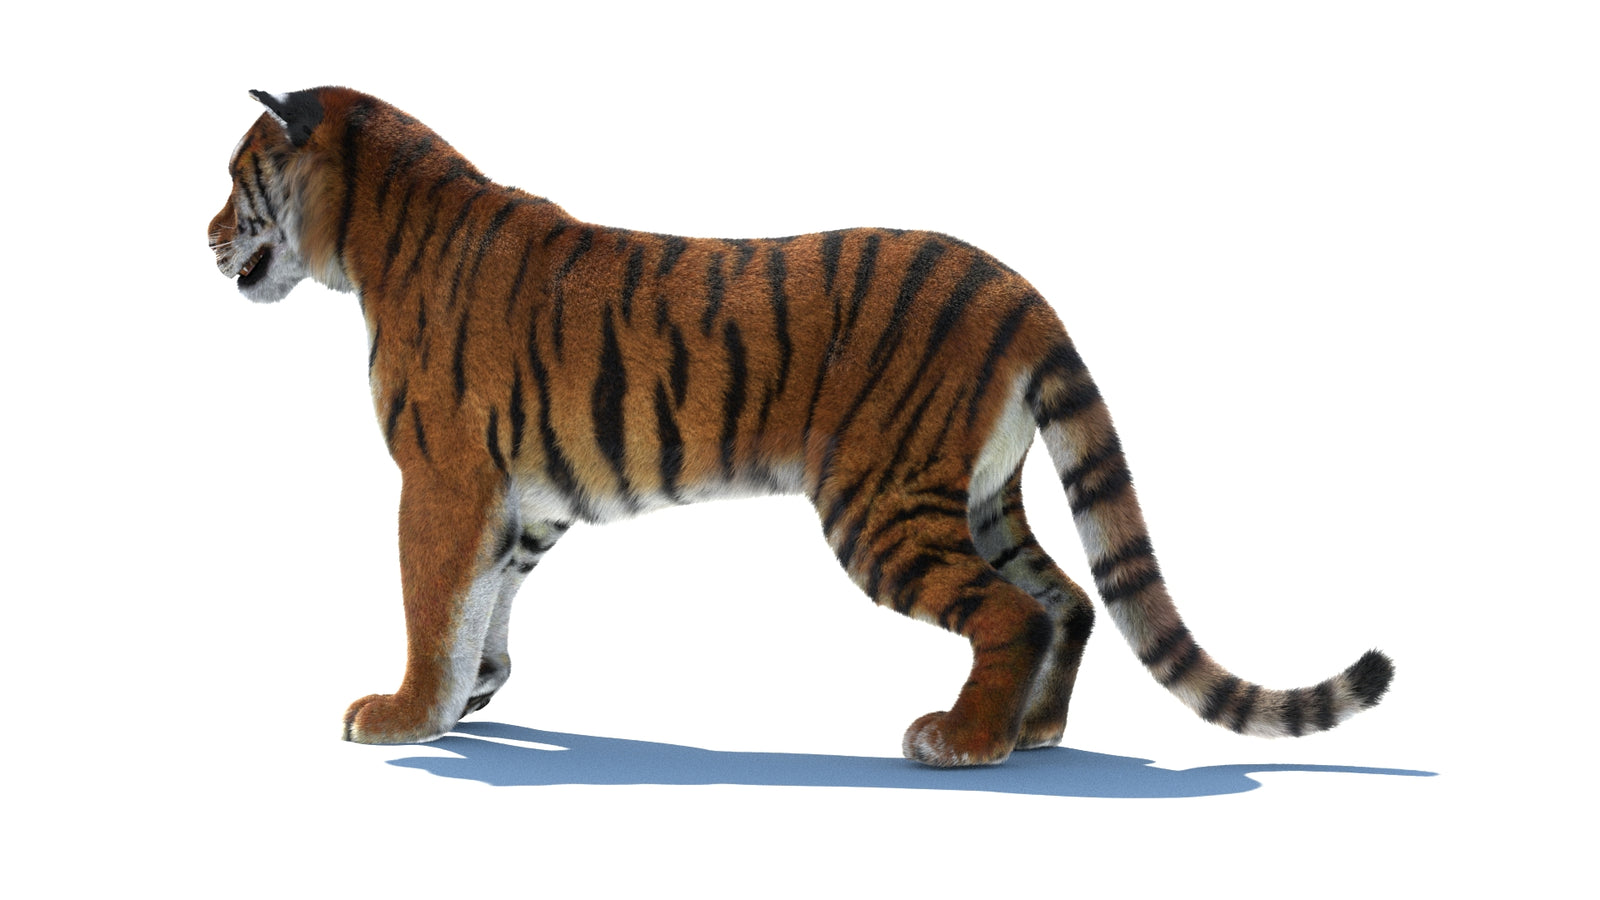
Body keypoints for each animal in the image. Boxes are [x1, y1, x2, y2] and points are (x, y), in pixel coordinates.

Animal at [207, 86, 1393, 767]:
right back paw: (1034, 730)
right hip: (975, 495)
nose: (205, 233)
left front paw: (403, 714)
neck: (366, 238)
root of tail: (1021, 292)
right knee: (1067, 597)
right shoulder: (523, 501)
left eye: (233, 178)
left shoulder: (443, 478)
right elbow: (486, 602)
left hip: (878, 505)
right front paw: (471, 697)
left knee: (1012, 609)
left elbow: (431, 602)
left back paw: (964, 742)